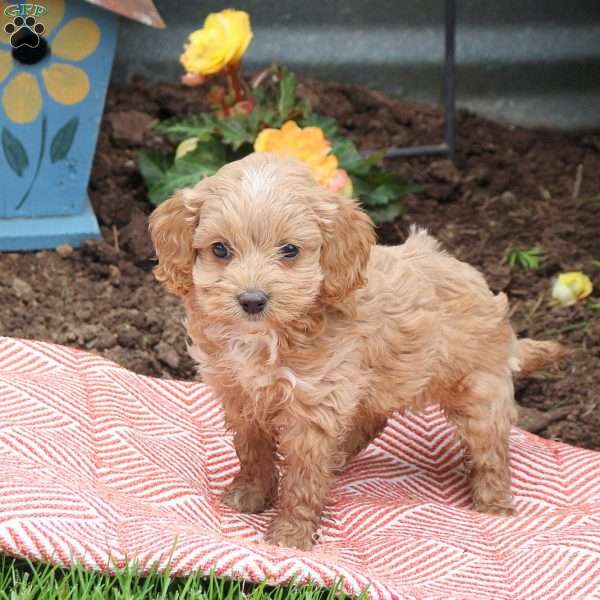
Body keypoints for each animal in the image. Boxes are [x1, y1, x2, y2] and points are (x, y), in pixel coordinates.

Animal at [148, 152, 564, 552]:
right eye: (220, 249)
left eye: (289, 250)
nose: (252, 300)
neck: (268, 336)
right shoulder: (241, 394)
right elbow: (252, 450)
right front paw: (249, 494)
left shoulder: (315, 405)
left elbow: (302, 478)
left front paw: (290, 534)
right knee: (371, 419)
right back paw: (340, 457)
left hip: (479, 391)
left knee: (490, 448)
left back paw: (494, 505)